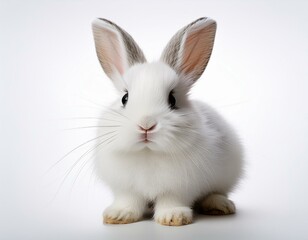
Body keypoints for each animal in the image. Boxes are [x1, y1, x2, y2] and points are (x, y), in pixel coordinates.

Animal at [91, 16, 243, 225]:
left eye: (172, 99)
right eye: (124, 98)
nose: (146, 125)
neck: (148, 153)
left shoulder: (180, 187)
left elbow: (172, 200)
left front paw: (173, 217)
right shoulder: (126, 188)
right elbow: (129, 201)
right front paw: (118, 215)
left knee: (216, 192)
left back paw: (220, 205)